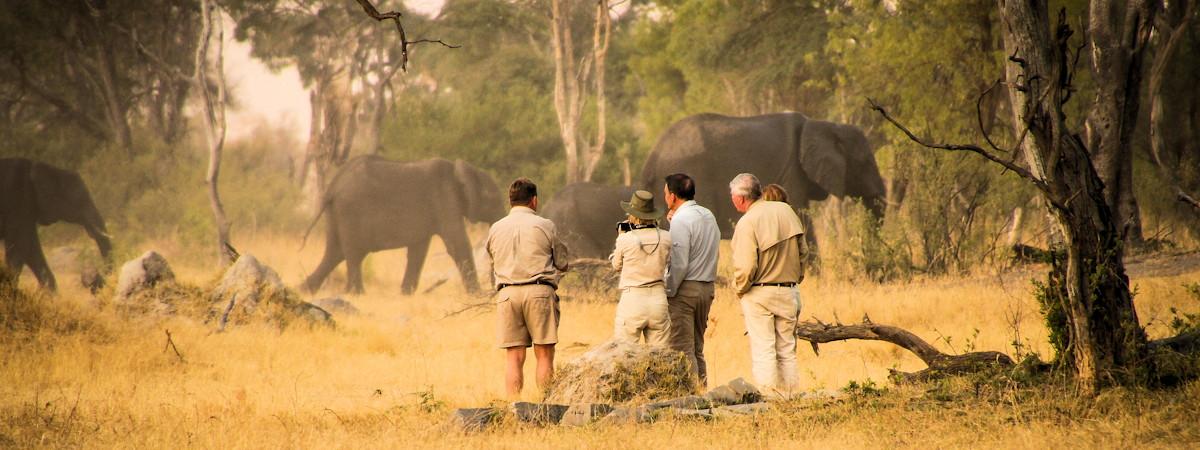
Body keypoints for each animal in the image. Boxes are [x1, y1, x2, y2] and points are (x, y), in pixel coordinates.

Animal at [304, 156, 506, 296]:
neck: (460, 171)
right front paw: (476, 295)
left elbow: (418, 250)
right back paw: (356, 294)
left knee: (335, 253)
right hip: (350, 210)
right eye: (494, 200)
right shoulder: (445, 199)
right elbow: (457, 244)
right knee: (353, 253)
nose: (494, 289)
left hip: (336, 213)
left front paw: (406, 293)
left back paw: (305, 289)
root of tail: (333, 185)